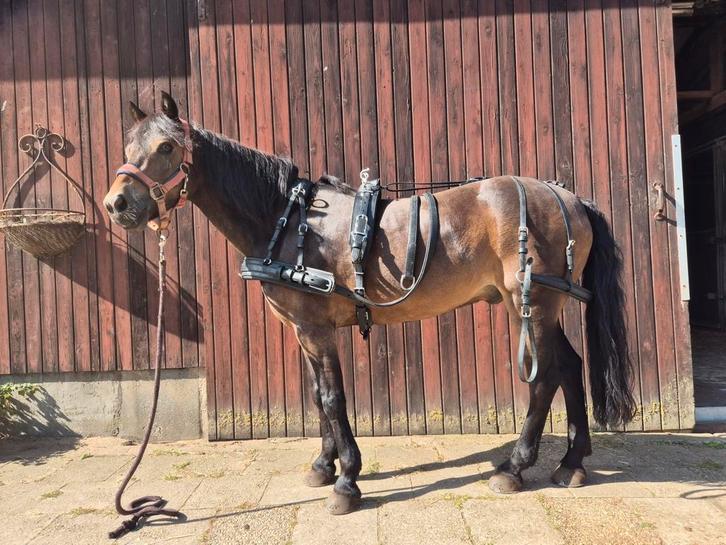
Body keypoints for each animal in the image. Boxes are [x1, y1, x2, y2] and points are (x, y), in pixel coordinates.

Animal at [104, 92, 635, 515]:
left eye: (167, 147)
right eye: (128, 148)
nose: (116, 204)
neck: (286, 220)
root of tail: (570, 199)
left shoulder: (316, 329)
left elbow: (334, 398)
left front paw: (347, 481)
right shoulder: (303, 329)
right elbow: (317, 395)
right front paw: (323, 465)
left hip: (532, 302)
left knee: (545, 378)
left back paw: (515, 468)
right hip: (543, 303)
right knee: (570, 366)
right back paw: (571, 464)